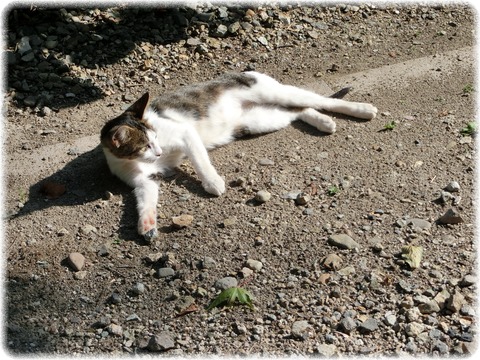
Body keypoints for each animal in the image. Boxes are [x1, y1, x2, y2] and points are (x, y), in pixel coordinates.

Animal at [100, 71, 378, 242]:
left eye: (155, 139)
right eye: (146, 145)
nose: (158, 152)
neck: (134, 161)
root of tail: (247, 71)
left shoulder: (185, 133)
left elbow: (201, 162)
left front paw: (212, 182)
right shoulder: (144, 181)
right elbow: (145, 200)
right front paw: (147, 224)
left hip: (275, 94)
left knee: (320, 101)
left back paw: (361, 109)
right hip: (259, 120)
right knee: (298, 111)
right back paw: (322, 122)